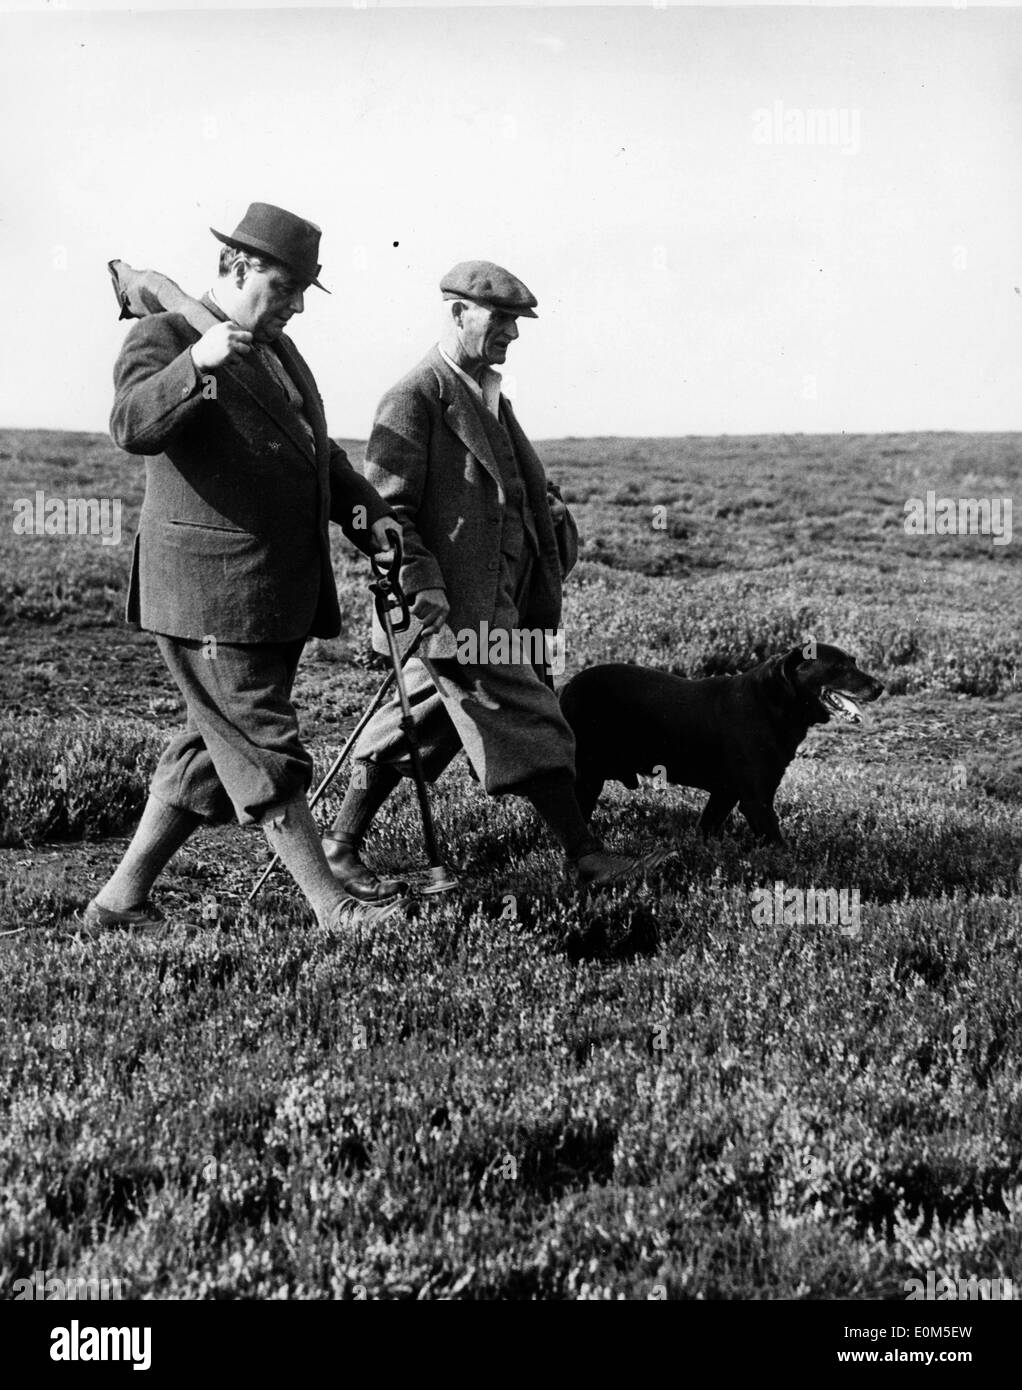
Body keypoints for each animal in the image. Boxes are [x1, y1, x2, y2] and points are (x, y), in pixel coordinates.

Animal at [558, 642, 889, 845]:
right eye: (839, 667)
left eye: (854, 662)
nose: (880, 687)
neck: (773, 701)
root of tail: (568, 687)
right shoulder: (756, 801)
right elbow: (779, 846)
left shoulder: (725, 794)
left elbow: (706, 829)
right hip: (587, 777)